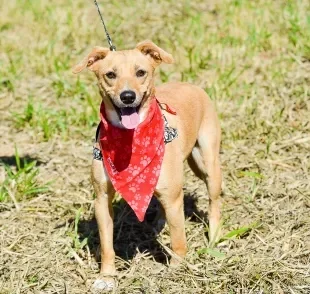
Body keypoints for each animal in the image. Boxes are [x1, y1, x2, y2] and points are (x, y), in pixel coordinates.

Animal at [73, 40, 222, 290]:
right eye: (110, 74)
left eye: (140, 72)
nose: (127, 96)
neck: (130, 140)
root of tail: (191, 85)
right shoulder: (101, 199)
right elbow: (107, 245)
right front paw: (107, 277)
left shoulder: (174, 198)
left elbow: (178, 238)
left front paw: (177, 271)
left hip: (207, 161)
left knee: (214, 201)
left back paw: (214, 236)